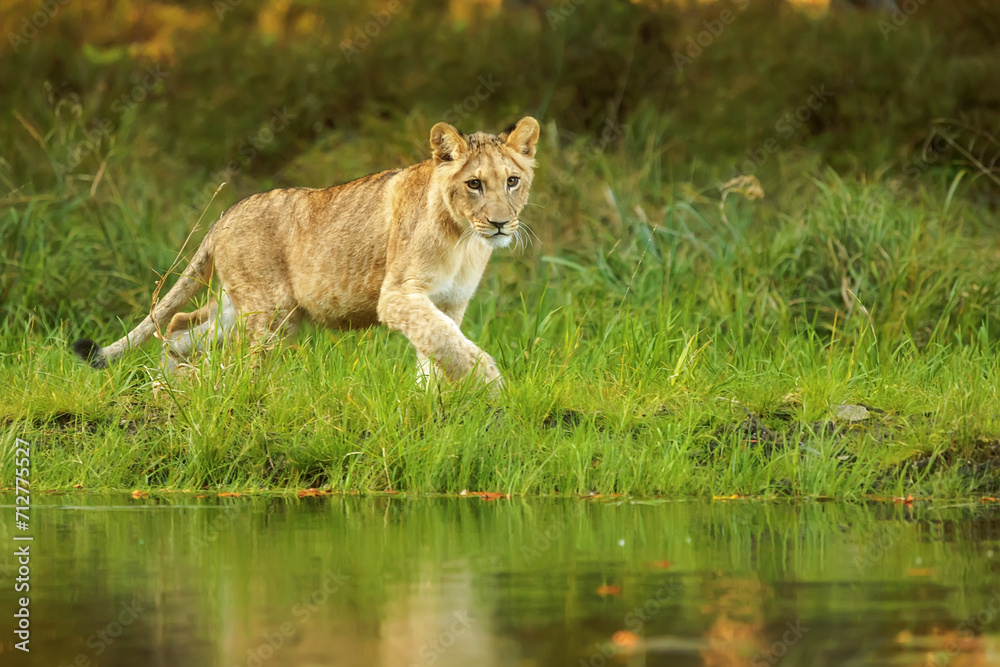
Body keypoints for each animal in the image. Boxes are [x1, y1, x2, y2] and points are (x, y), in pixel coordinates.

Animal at [72, 116, 541, 389]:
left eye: (512, 181)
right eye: (474, 184)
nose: (501, 223)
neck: (464, 238)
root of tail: (226, 214)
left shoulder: (447, 302)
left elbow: (439, 350)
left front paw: (431, 402)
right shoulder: (398, 295)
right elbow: (451, 346)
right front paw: (491, 384)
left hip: (246, 308)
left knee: (179, 325)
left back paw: (169, 387)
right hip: (271, 312)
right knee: (239, 362)